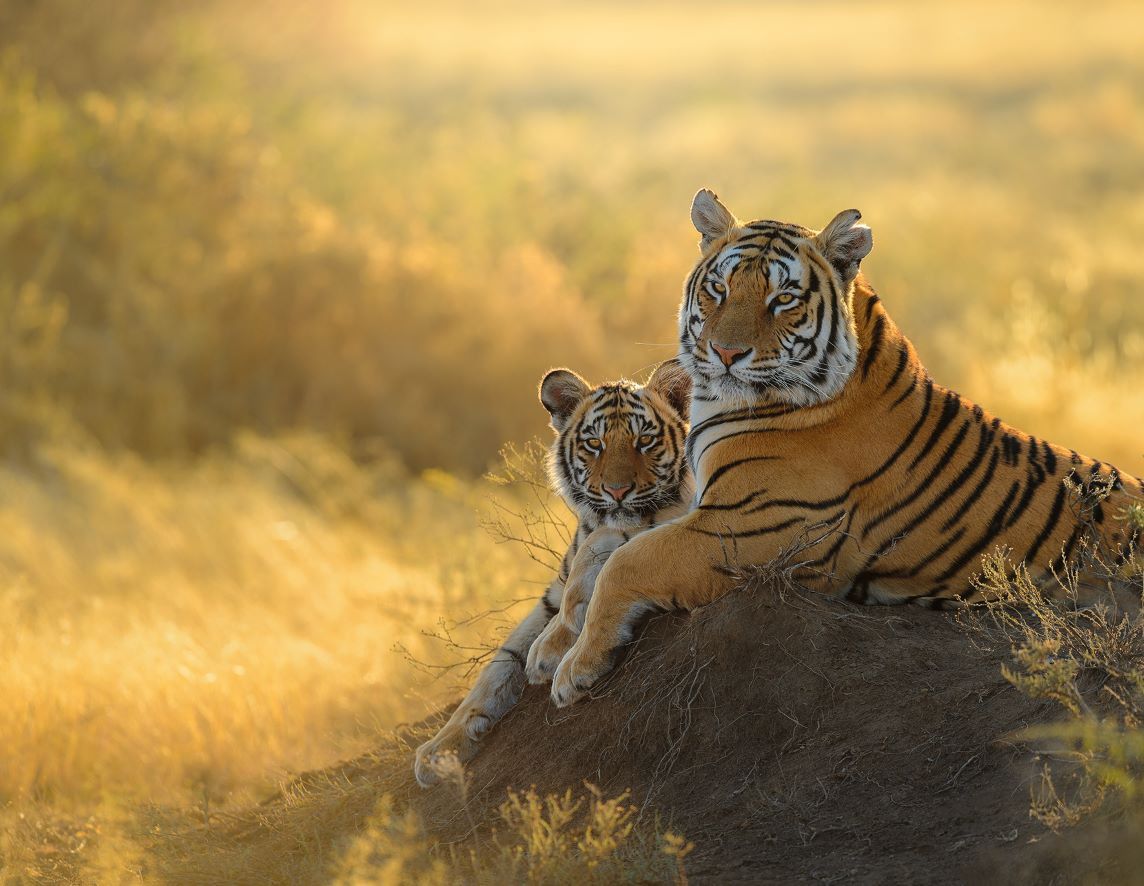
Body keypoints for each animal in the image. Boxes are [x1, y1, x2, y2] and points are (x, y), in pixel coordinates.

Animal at [416, 357, 690, 787]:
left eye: (644, 441)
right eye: (594, 444)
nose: (617, 492)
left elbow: (599, 559)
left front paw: (550, 650)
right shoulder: (549, 598)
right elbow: (497, 667)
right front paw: (438, 751)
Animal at [549, 191, 1139, 709]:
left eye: (782, 298)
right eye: (718, 288)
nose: (724, 352)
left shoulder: (749, 528)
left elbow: (628, 561)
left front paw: (575, 669)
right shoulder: (702, 507)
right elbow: (604, 544)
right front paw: (554, 640)